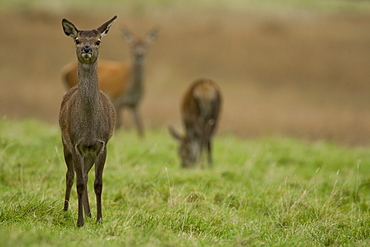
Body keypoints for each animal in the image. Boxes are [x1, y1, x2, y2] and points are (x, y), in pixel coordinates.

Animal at [59, 16, 117, 227]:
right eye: (77, 40)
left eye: (98, 41)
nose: (86, 48)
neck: (89, 128)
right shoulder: (76, 143)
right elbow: (79, 183)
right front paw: (79, 222)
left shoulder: (101, 144)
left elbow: (98, 183)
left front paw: (99, 218)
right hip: (65, 143)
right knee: (70, 175)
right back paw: (65, 209)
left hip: (88, 154)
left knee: (83, 174)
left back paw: (89, 212)